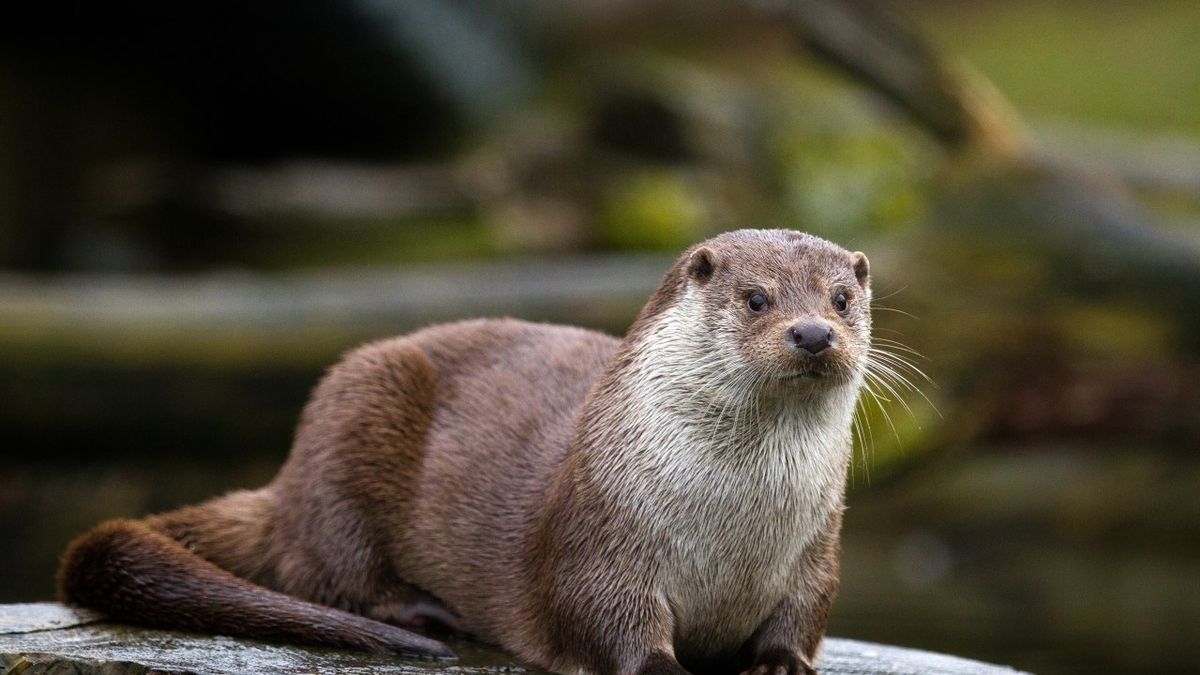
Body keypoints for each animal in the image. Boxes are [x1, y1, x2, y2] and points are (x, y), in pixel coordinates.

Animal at [58, 229, 872, 675]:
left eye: (841, 299)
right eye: (757, 298)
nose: (813, 333)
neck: (734, 525)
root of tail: (285, 483)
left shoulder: (817, 550)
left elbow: (803, 616)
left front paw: (780, 663)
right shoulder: (600, 536)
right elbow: (604, 618)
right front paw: (661, 667)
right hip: (353, 413)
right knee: (324, 568)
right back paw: (423, 614)